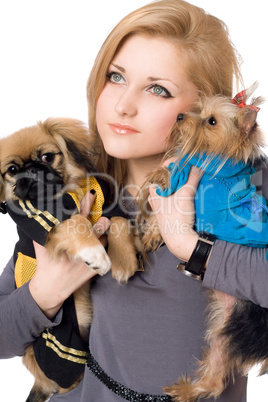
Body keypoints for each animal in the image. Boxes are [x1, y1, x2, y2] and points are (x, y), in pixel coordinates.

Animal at [0, 118, 142, 400]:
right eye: (12, 170)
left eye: (47, 157)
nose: (30, 171)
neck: (63, 195)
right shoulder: (48, 224)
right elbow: (76, 222)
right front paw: (96, 253)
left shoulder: (105, 203)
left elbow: (119, 221)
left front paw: (123, 261)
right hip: (65, 339)